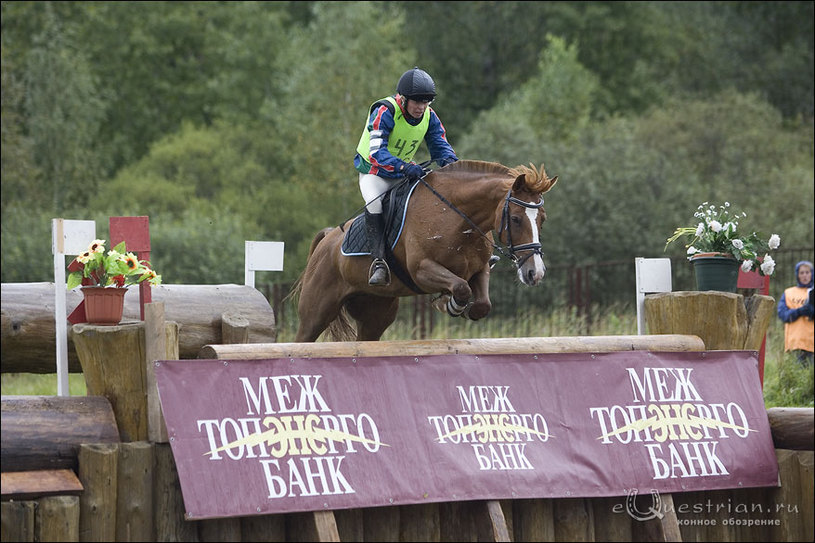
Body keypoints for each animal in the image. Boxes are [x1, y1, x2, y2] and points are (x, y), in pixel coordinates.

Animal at [294, 159, 560, 342]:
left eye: (542, 220)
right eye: (515, 219)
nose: (535, 273)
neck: (456, 217)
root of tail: (328, 239)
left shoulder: (480, 269)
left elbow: (482, 304)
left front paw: (452, 303)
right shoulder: (422, 270)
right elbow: (461, 288)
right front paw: (447, 304)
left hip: (376, 313)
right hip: (316, 312)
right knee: (303, 338)